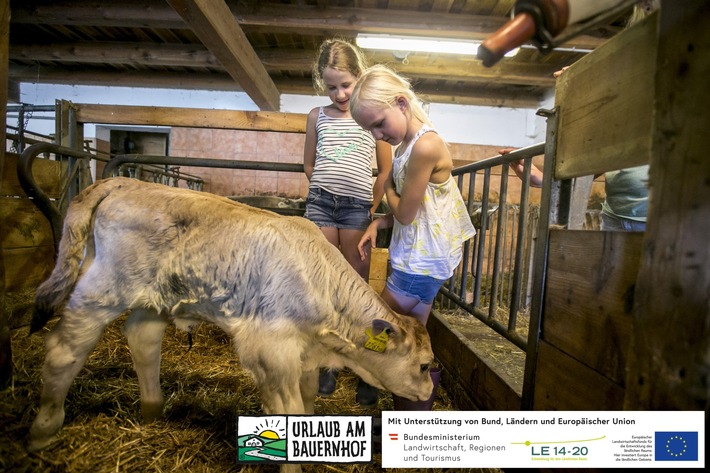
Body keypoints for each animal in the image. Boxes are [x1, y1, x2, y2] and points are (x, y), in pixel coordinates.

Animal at [27, 176, 434, 460]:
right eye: (426, 365)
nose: (429, 392)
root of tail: (120, 182)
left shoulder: (303, 355)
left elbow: (306, 406)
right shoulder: (270, 350)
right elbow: (287, 412)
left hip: (153, 298)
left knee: (143, 340)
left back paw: (153, 412)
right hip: (103, 288)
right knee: (64, 350)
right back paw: (44, 429)